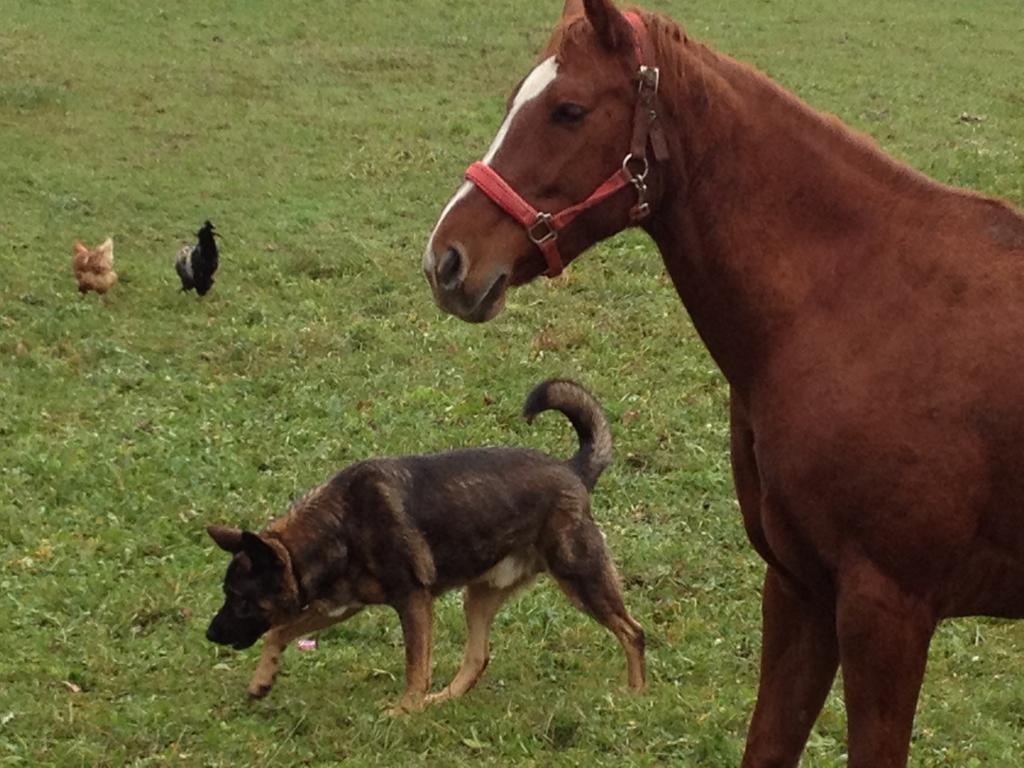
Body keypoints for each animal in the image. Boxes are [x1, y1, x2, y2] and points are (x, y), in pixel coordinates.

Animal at [203, 380, 643, 716]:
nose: (209, 634)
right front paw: (262, 680)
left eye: (239, 598)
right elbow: (279, 631)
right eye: (228, 594)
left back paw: (636, 695)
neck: (337, 525)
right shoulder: (339, 606)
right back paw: (443, 699)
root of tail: (573, 470)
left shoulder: (413, 601)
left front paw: (404, 710)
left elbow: (416, 666)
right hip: (479, 596)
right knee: (478, 658)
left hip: (581, 579)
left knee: (633, 632)